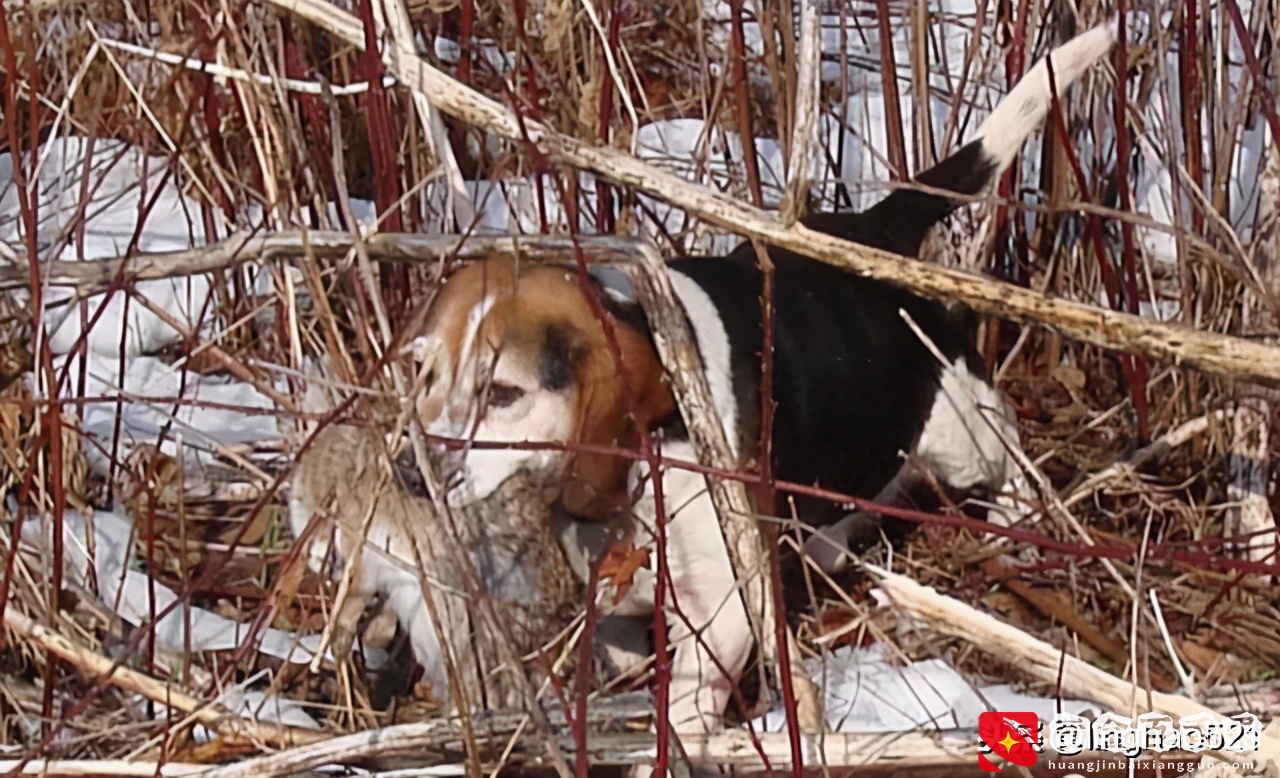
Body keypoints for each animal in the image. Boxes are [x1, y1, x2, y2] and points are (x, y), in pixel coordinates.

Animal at [407, 21, 1111, 737]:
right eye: (423, 372)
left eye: (503, 394)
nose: (414, 473)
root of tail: (872, 230)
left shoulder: (723, 613)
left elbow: (687, 707)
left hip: (960, 426)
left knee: (1007, 451)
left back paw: (1021, 520)